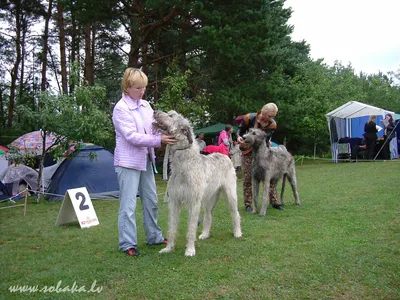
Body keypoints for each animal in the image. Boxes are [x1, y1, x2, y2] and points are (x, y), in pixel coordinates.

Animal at [152, 110, 241, 255]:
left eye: (171, 116)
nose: (155, 111)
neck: (182, 165)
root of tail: (225, 155)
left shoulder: (194, 202)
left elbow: (191, 228)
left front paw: (190, 249)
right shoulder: (174, 201)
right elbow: (172, 227)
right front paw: (169, 248)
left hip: (230, 194)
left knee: (235, 214)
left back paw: (238, 232)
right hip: (209, 198)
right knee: (208, 215)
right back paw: (205, 234)